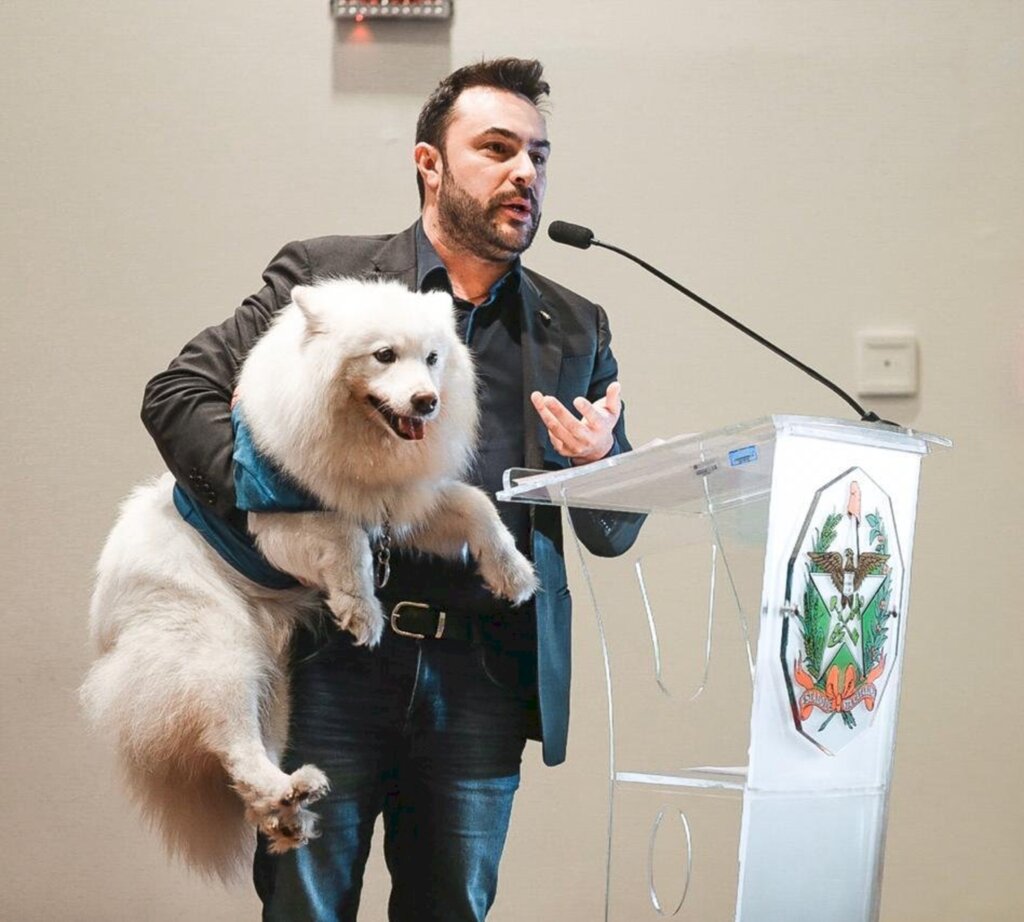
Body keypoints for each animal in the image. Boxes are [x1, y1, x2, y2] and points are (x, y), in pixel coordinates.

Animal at [81, 278, 536, 876]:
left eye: (433, 359)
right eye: (384, 355)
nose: (427, 402)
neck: (362, 442)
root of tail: (105, 620)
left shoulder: (403, 508)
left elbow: (476, 506)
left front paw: (514, 573)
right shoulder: (281, 522)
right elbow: (347, 540)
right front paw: (361, 611)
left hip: (272, 685)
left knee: (246, 762)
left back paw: (288, 810)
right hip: (218, 654)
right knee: (232, 744)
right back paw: (285, 793)